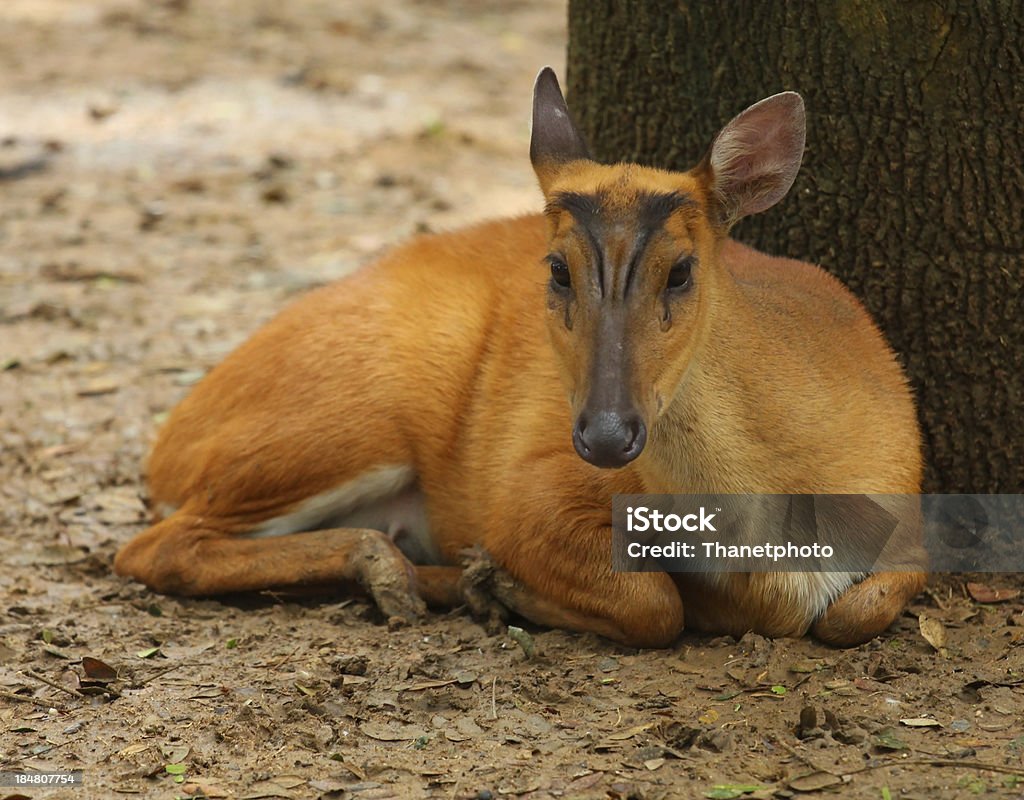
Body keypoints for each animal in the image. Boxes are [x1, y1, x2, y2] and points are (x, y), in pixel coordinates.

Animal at [114, 70, 929, 647]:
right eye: (557, 269)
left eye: (681, 270)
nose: (606, 433)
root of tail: (166, 447)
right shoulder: (529, 489)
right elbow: (654, 603)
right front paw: (497, 583)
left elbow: (861, 607)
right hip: (347, 415)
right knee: (154, 547)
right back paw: (401, 573)